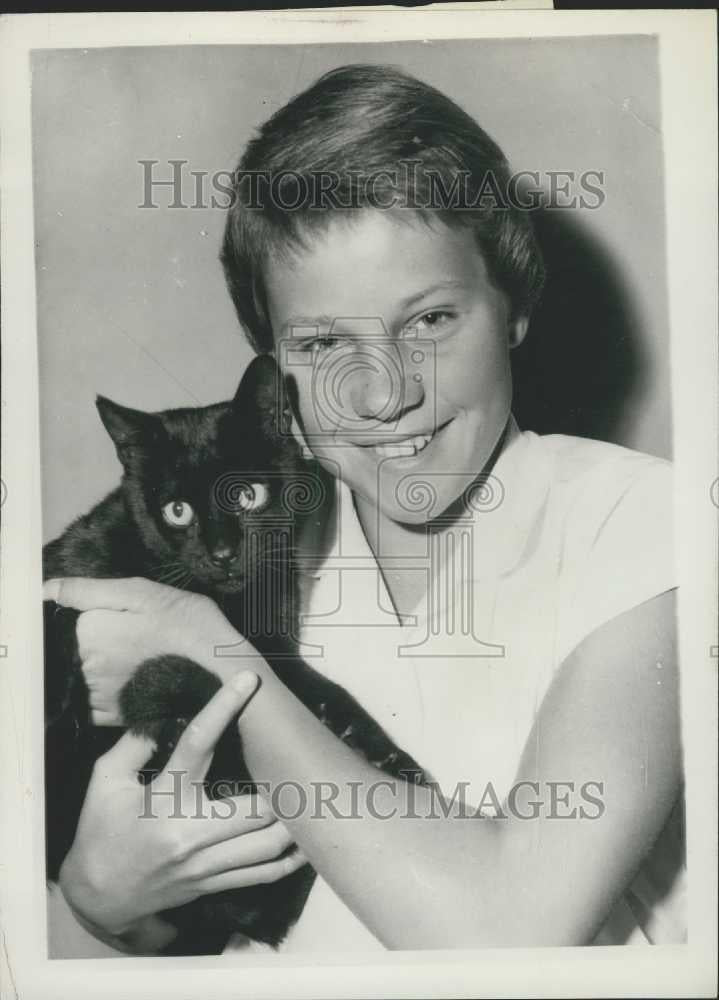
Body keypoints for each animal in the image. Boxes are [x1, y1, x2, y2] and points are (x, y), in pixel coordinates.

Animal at [45, 356, 428, 956]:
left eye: (248, 496)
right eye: (177, 511)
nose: (223, 554)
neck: (222, 602)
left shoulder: (269, 649)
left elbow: (325, 692)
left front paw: (391, 759)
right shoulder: (68, 566)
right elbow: (55, 611)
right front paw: (60, 697)